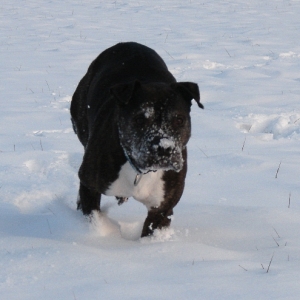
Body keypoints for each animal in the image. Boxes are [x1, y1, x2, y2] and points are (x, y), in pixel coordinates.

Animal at [69, 42, 204, 238]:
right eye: (140, 119)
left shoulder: (161, 209)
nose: (164, 148)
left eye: (179, 120)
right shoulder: (90, 184)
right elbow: (93, 213)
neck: (140, 172)